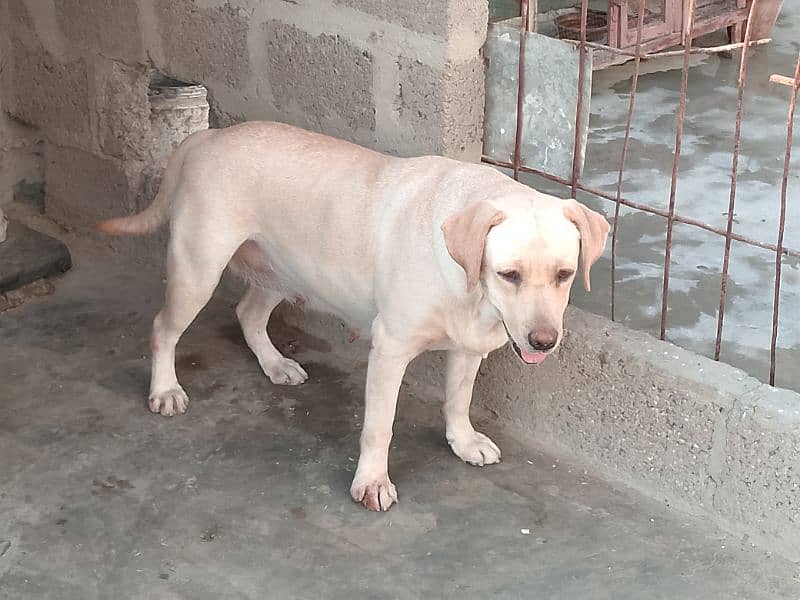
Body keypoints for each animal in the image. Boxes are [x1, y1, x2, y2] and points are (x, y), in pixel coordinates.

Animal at [97, 120, 608, 510]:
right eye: (509, 274)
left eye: (565, 274)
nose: (544, 341)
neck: (469, 284)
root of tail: (208, 136)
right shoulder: (390, 350)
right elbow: (379, 428)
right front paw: (372, 483)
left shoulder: (469, 346)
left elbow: (457, 402)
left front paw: (462, 441)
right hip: (197, 271)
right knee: (163, 329)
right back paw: (165, 389)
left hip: (281, 273)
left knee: (247, 313)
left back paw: (275, 364)